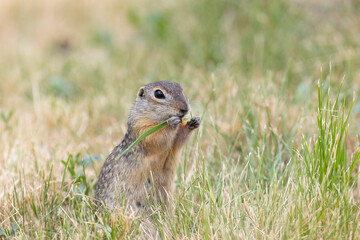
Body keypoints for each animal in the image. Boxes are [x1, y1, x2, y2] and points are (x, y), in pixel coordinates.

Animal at [94, 81, 201, 213]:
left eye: (181, 89)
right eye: (158, 94)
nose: (185, 109)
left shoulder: (174, 143)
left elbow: (179, 139)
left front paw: (194, 121)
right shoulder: (141, 128)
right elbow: (155, 139)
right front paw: (172, 123)